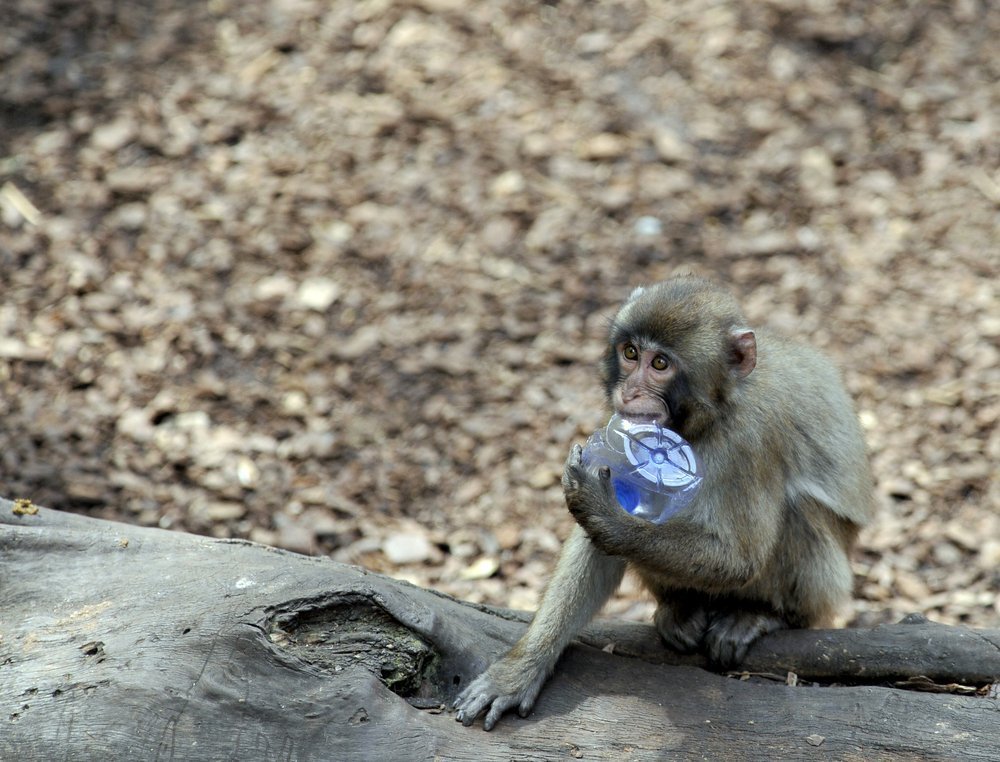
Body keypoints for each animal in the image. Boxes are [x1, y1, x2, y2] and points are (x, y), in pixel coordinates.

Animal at [454, 276, 876, 728]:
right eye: (630, 353)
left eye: (660, 364)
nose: (630, 391)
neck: (714, 412)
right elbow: (596, 545)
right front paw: (522, 668)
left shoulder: (753, 436)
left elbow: (740, 557)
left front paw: (609, 517)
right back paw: (679, 606)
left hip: (826, 588)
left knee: (797, 514)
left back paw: (763, 615)